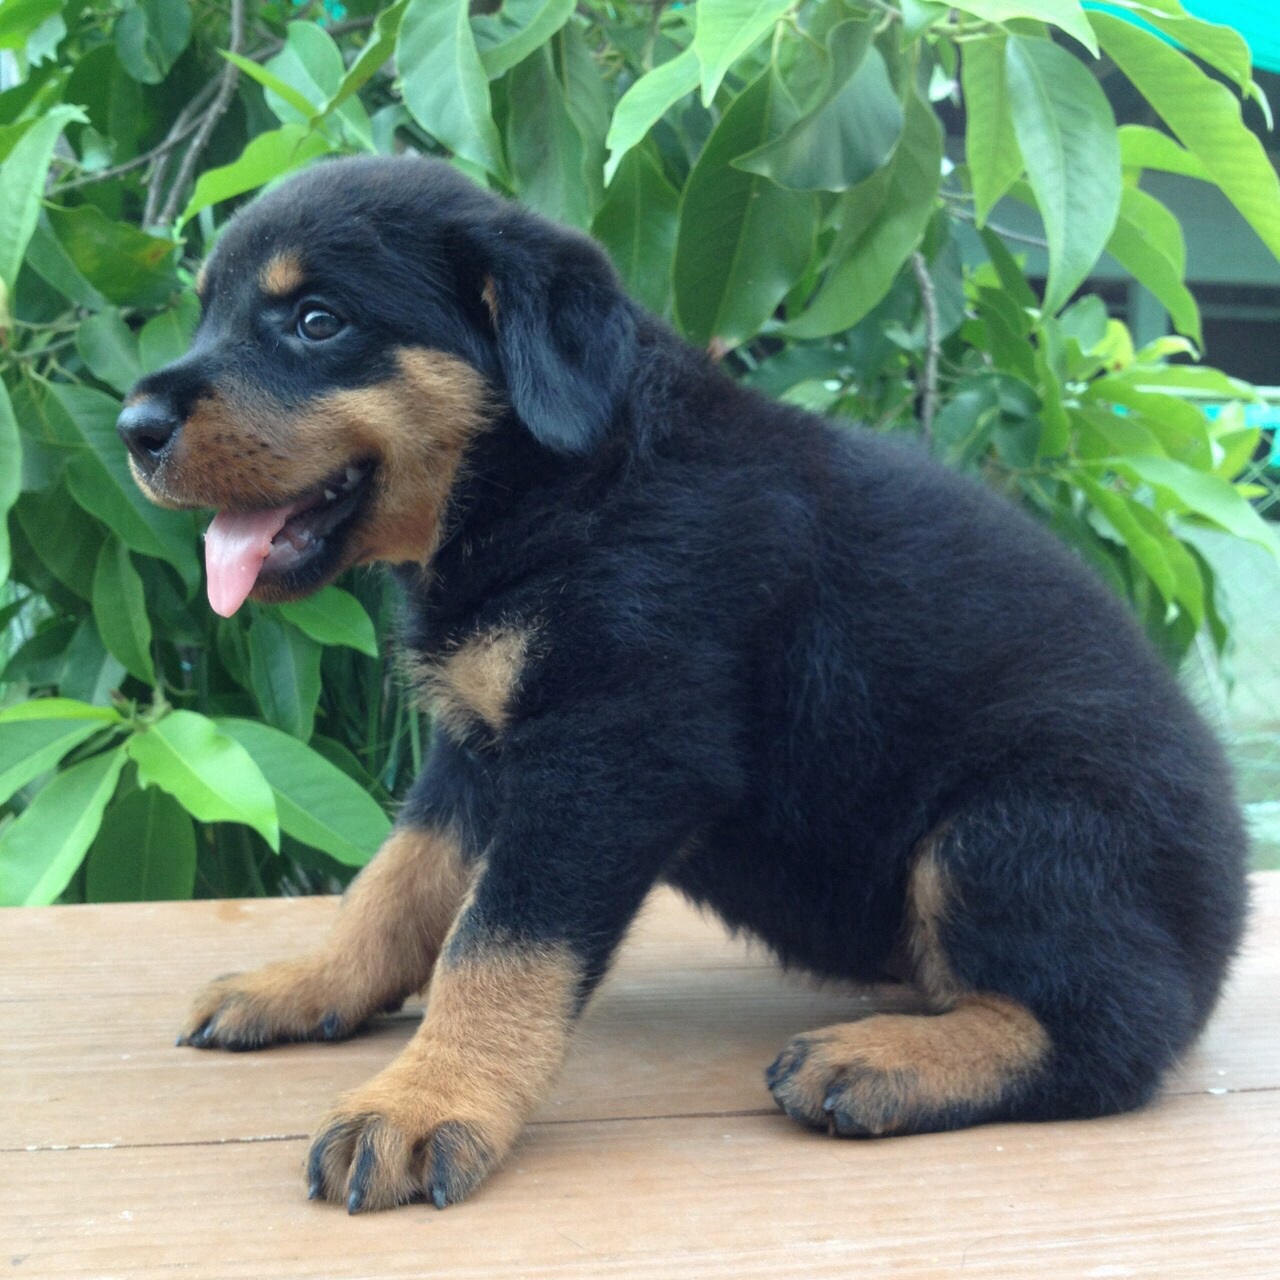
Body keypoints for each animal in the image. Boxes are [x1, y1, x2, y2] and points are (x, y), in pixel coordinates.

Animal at [117, 155, 1248, 1213]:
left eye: (317, 322)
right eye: (209, 309)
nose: (132, 426)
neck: (562, 485)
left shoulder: (613, 753)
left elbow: (496, 944)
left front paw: (424, 1103)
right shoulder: (481, 748)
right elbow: (396, 883)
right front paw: (308, 982)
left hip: (1012, 825)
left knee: (1117, 1026)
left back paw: (883, 1059)